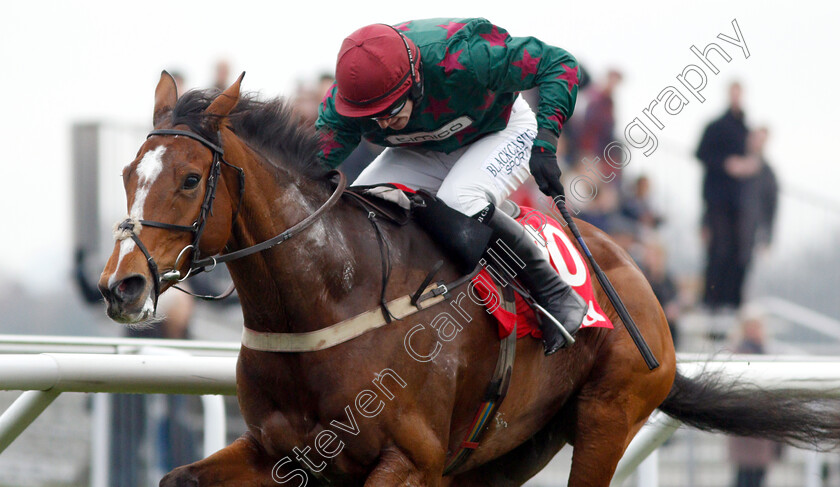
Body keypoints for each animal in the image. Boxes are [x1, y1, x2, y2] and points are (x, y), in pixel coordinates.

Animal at [100, 70, 840, 486]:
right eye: (129, 173)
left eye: (189, 178)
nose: (122, 285)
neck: (325, 298)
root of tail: (644, 289)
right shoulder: (279, 452)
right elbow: (177, 479)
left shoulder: (411, 460)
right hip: (506, 453)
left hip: (609, 412)